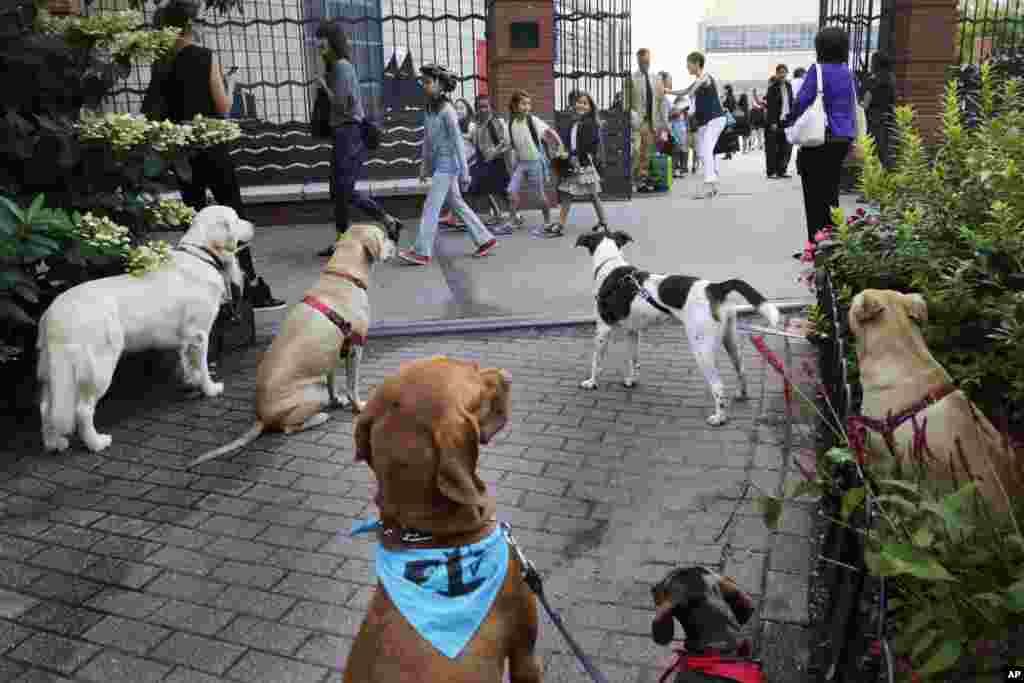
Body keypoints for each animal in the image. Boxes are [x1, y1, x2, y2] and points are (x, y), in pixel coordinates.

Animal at [39, 205, 251, 450]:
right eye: (236, 219)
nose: (253, 225)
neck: (201, 255)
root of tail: (56, 314)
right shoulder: (199, 335)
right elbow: (203, 366)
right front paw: (209, 389)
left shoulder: (186, 339)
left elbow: (188, 363)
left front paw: (192, 381)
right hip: (99, 367)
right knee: (82, 410)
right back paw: (97, 443)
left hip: (52, 371)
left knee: (46, 408)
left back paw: (54, 443)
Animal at [188, 222, 399, 466]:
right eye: (383, 236)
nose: (395, 241)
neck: (343, 275)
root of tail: (262, 416)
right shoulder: (356, 348)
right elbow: (352, 384)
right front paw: (359, 406)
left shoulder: (332, 354)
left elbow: (332, 381)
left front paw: (337, 399)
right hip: (312, 395)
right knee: (288, 428)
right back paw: (320, 416)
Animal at [573, 229, 778, 423]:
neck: (610, 264)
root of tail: (715, 287)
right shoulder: (633, 331)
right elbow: (633, 359)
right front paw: (632, 380)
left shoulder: (603, 328)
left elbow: (596, 361)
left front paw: (591, 382)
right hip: (731, 340)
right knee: (741, 370)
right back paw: (741, 395)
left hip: (701, 348)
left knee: (718, 386)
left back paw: (719, 417)